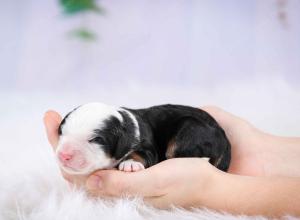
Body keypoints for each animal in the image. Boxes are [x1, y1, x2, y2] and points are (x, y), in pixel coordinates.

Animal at [56, 103, 231, 175]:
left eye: (96, 140)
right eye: (61, 133)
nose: (63, 155)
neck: (127, 123)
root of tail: (225, 141)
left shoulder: (147, 145)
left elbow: (142, 154)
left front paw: (131, 164)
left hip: (190, 128)